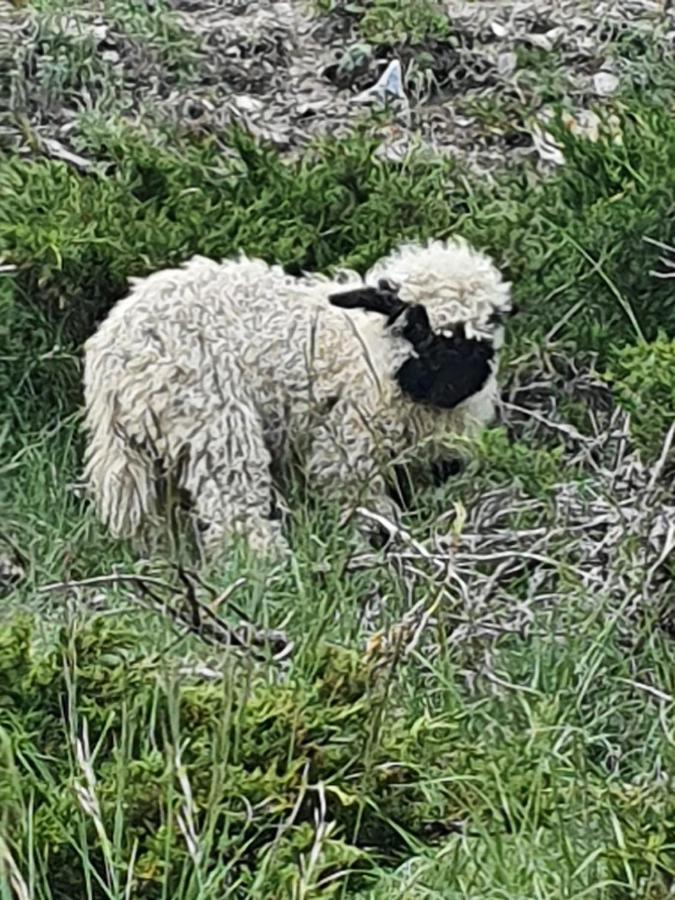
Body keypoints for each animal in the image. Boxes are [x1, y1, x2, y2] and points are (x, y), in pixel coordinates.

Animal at [82, 239, 516, 564]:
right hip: (215, 420)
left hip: (138, 451)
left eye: (484, 328)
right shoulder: (346, 446)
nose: (453, 385)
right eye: (416, 324)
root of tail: (116, 353)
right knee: (233, 503)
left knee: (152, 516)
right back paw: (264, 562)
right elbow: (363, 505)